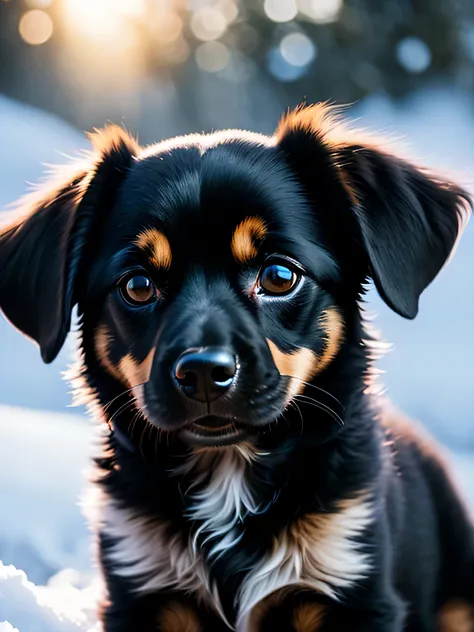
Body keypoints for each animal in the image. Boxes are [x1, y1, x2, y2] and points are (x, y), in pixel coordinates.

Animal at [0, 106, 474, 628]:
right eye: (138, 286)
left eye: (280, 275)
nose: (204, 373)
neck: (228, 472)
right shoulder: (140, 590)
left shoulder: (355, 588)